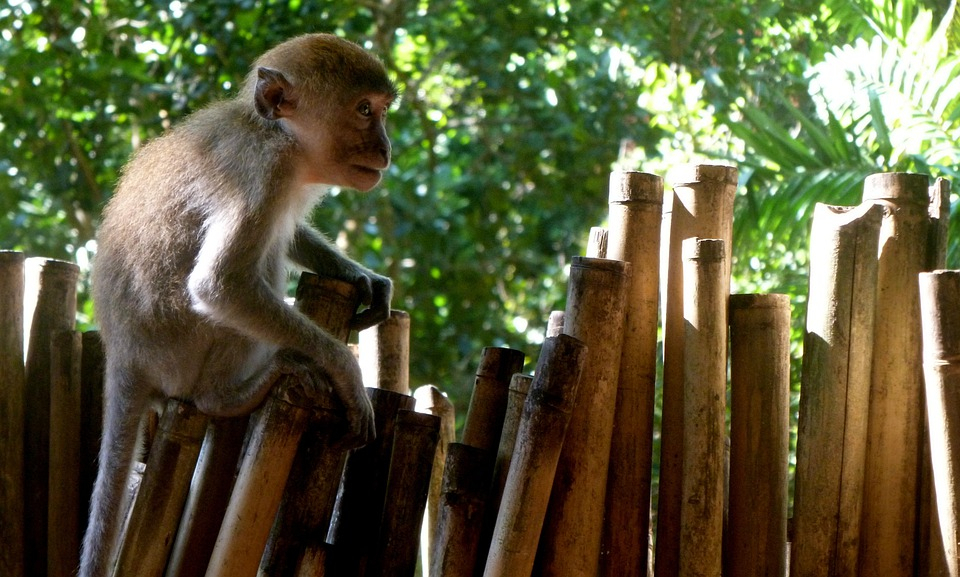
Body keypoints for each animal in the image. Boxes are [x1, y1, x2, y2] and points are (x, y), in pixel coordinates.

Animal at [79, 34, 399, 576]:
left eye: (381, 110)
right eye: (363, 110)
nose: (386, 147)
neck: (274, 133)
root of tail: (122, 354)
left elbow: (290, 234)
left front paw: (361, 277)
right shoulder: (264, 174)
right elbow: (221, 285)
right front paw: (345, 370)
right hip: (181, 354)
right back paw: (227, 395)